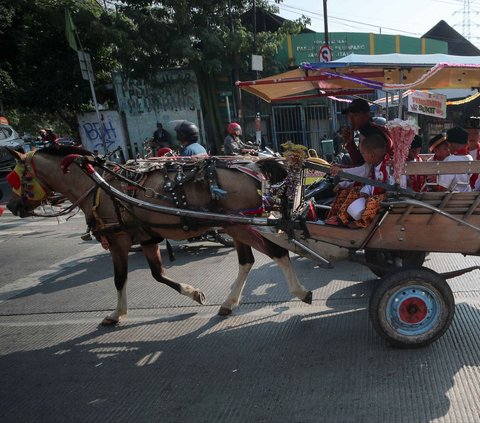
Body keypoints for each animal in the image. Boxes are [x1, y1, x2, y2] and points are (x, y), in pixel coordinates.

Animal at [5, 146, 314, 324]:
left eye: (20, 177)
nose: (11, 206)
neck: (99, 187)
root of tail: (253, 165)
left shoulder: (118, 239)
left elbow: (120, 278)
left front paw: (116, 314)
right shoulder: (147, 238)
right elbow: (157, 274)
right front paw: (194, 293)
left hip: (239, 226)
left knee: (277, 253)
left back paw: (301, 291)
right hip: (235, 226)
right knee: (247, 261)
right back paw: (228, 303)